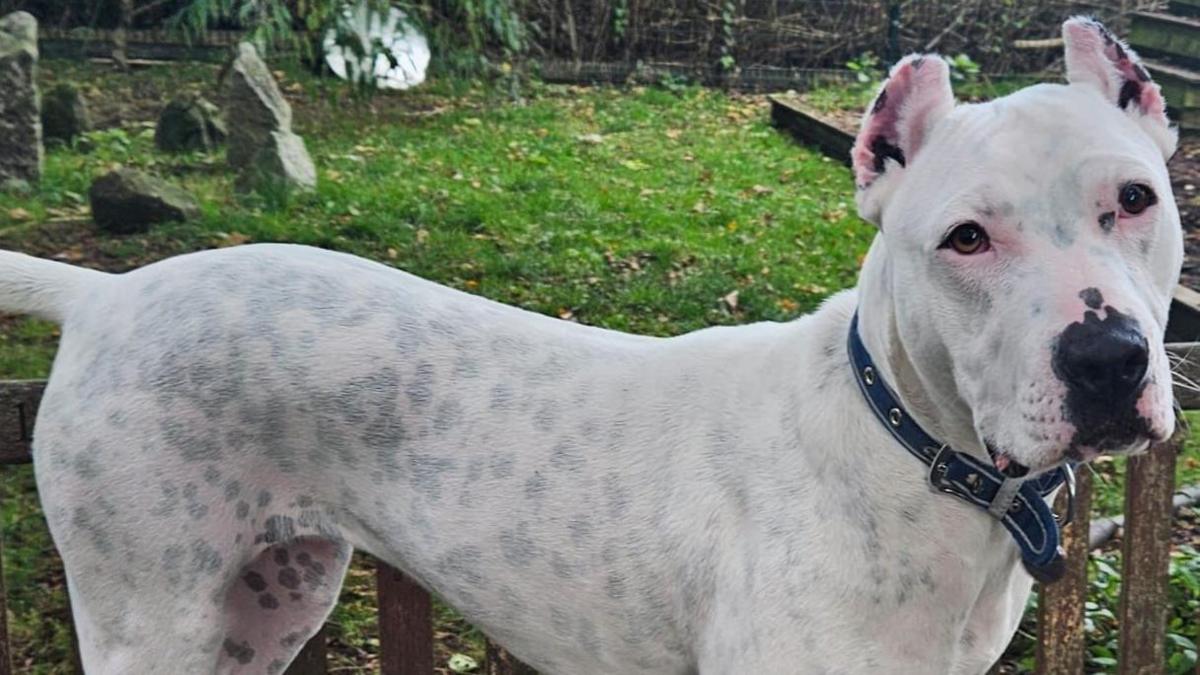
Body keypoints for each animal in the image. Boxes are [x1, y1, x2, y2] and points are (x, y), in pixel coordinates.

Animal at [0, 15, 1180, 672]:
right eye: (966, 238)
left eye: (1137, 199)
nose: (1108, 359)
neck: (913, 449)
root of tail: (109, 294)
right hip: (149, 616)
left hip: (267, 600)